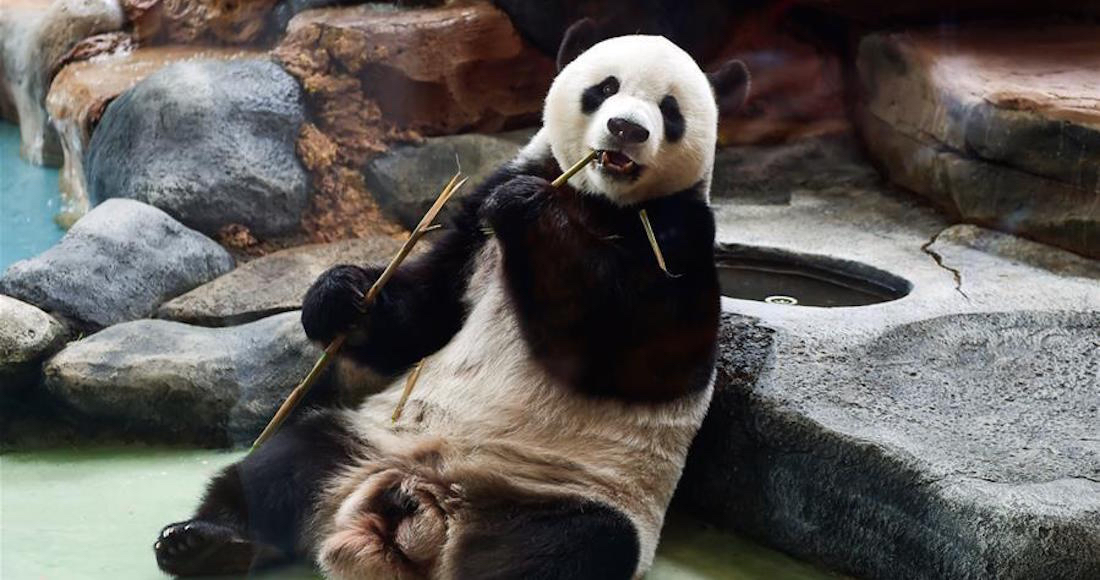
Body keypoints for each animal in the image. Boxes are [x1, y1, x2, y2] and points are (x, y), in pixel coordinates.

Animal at [154, 19, 749, 580]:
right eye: (605, 87)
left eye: (670, 110)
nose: (626, 129)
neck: (593, 198)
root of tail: (420, 504)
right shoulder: (476, 226)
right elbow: (426, 312)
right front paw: (337, 296)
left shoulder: (680, 233)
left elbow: (644, 347)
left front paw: (529, 212)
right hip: (370, 440)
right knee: (288, 460)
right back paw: (207, 541)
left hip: (564, 494)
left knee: (568, 547)